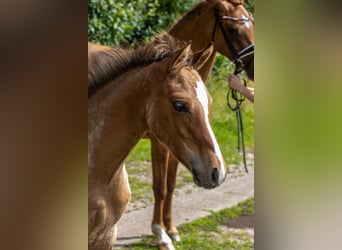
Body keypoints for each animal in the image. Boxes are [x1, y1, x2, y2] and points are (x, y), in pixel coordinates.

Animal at [150, 0, 254, 247]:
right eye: (233, 30)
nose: (255, 67)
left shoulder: (179, 144)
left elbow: (171, 183)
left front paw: (171, 229)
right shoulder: (160, 143)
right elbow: (160, 186)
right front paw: (160, 233)